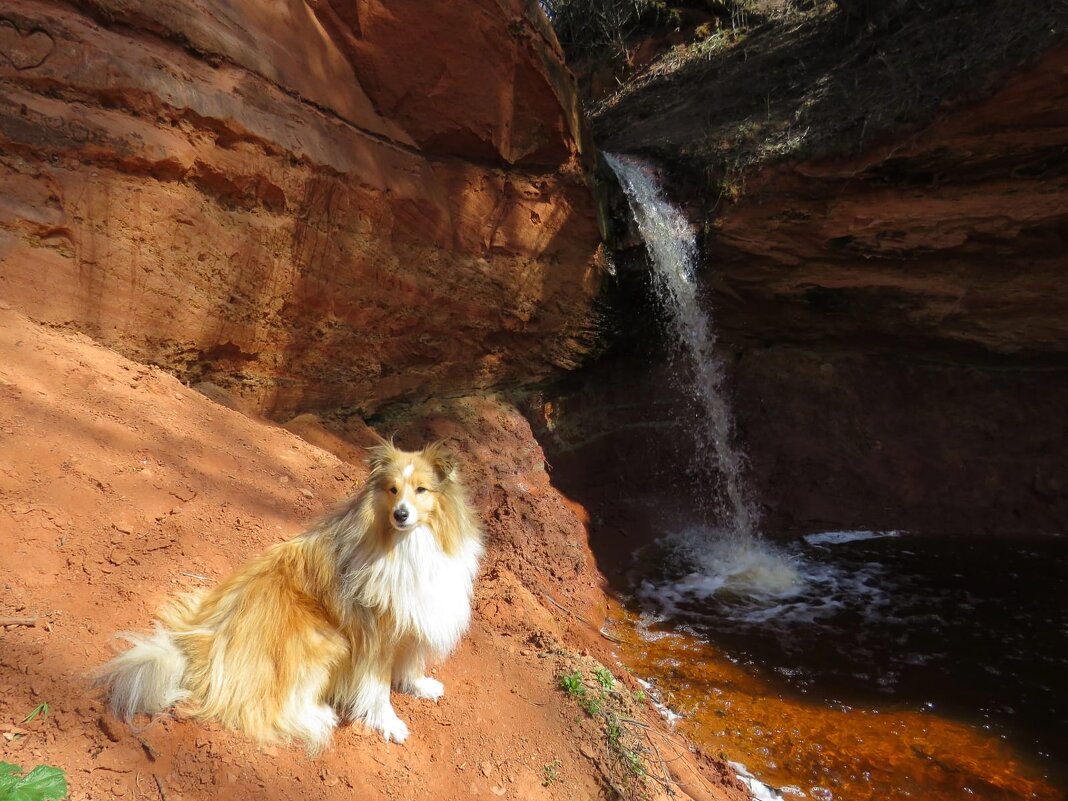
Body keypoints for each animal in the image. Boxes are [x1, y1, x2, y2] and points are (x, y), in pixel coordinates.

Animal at [91, 442, 484, 751]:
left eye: (421, 490)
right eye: (392, 489)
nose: (401, 514)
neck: (406, 543)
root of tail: (201, 649)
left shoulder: (412, 621)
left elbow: (411, 663)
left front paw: (421, 686)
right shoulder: (376, 636)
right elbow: (377, 688)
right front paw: (390, 724)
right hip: (326, 641)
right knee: (268, 711)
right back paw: (320, 715)